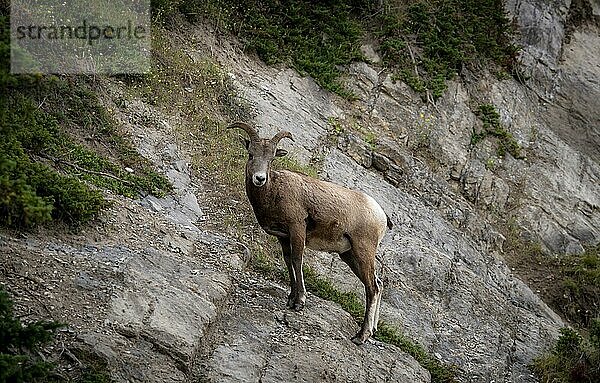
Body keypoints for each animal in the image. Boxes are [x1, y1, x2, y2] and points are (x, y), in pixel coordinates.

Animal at [227, 122, 392, 344]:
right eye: (251, 154)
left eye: (271, 159)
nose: (259, 179)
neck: (274, 192)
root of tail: (380, 214)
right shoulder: (283, 237)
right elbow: (288, 261)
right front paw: (290, 298)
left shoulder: (297, 229)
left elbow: (298, 260)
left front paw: (299, 302)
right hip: (349, 255)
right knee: (378, 284)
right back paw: (371, 330)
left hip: (363, 251)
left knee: (372, 288)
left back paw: (361, 336)